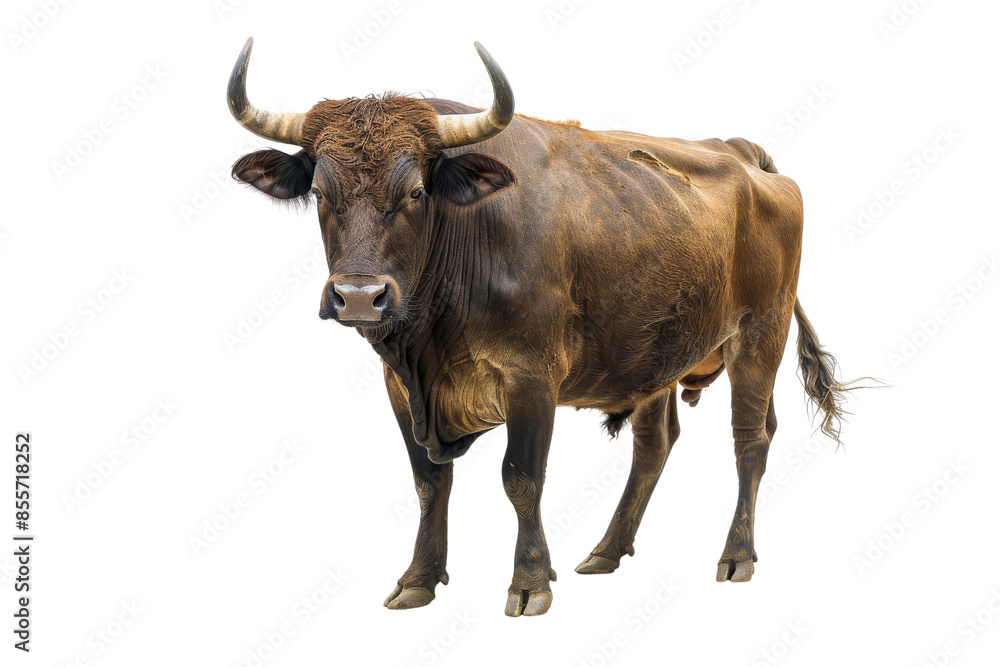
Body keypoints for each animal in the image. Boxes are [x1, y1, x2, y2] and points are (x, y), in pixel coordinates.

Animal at [226, 37, 854, 617]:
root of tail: (740, 153)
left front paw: (529, 581)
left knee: (750, 439)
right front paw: (419, 578)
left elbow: (521, 477)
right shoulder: (400, 388)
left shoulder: (531, 377)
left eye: (416, 191)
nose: (360, 297)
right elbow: (429, 482)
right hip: (658, 353)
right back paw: (606, 550)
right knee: (654, 445)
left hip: (760, 337)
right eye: (319, 192)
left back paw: (736, 554)